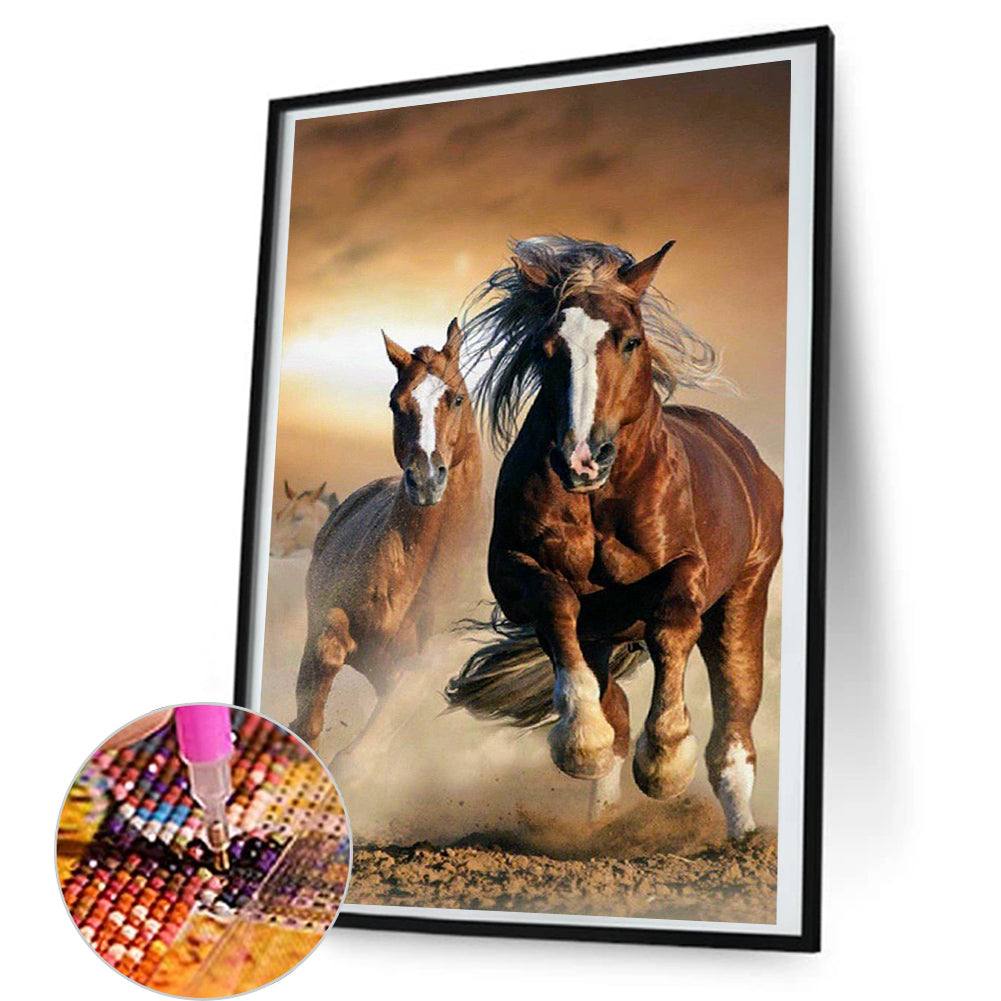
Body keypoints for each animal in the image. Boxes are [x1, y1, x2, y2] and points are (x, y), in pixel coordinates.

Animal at [289, 318, 482, 753]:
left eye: (457, 398)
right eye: (396, 403)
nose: (425, 480)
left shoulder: (410, 670)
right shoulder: (328, 624)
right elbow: (317, 686)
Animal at [446, 237, 783, 837]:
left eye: (630, 341)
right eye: (547, 348)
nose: (582, 458)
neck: (600, 500)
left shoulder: (687, 570)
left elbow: (672, 624)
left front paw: (666, 760)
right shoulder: (515, 570)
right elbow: (556, 605)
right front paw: (583, 742)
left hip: (744, 597)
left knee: (734, 729)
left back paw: (742, 835)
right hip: (603, 632)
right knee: (615, 706)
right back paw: (601, 816)